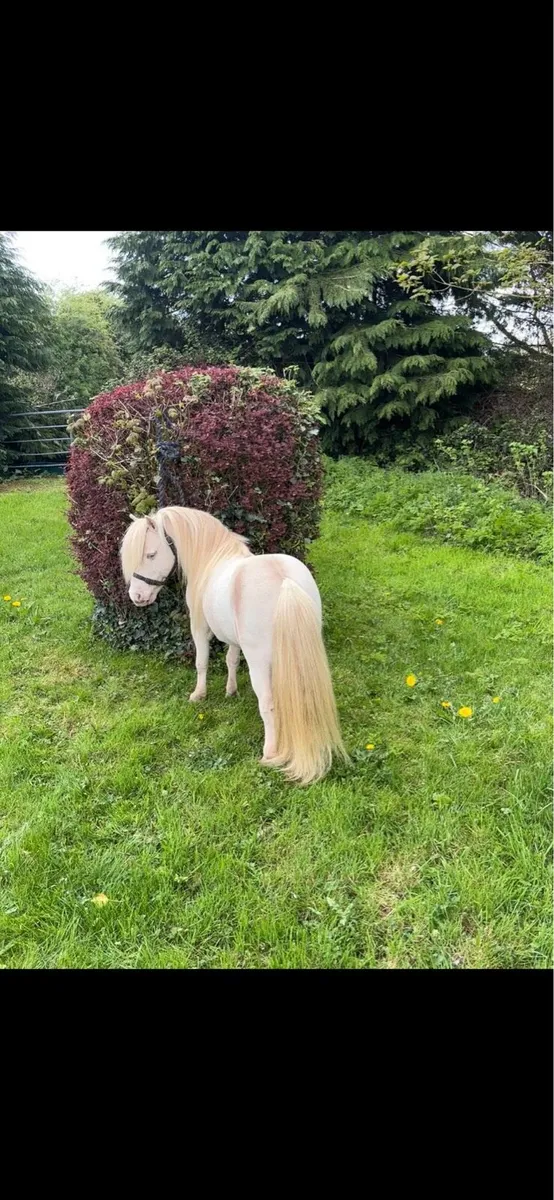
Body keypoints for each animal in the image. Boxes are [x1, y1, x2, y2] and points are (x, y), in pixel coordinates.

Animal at [120, 506, 347, 785]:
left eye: (150, 554)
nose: (137, 597)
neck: (211, 558)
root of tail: (285, 582)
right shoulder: (233, 639)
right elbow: (231, 659)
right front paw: (231, 691)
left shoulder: (200, 628)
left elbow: (202, 662)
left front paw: (198, 695)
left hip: (260, 663)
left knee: (267, 703)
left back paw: (269, 753)